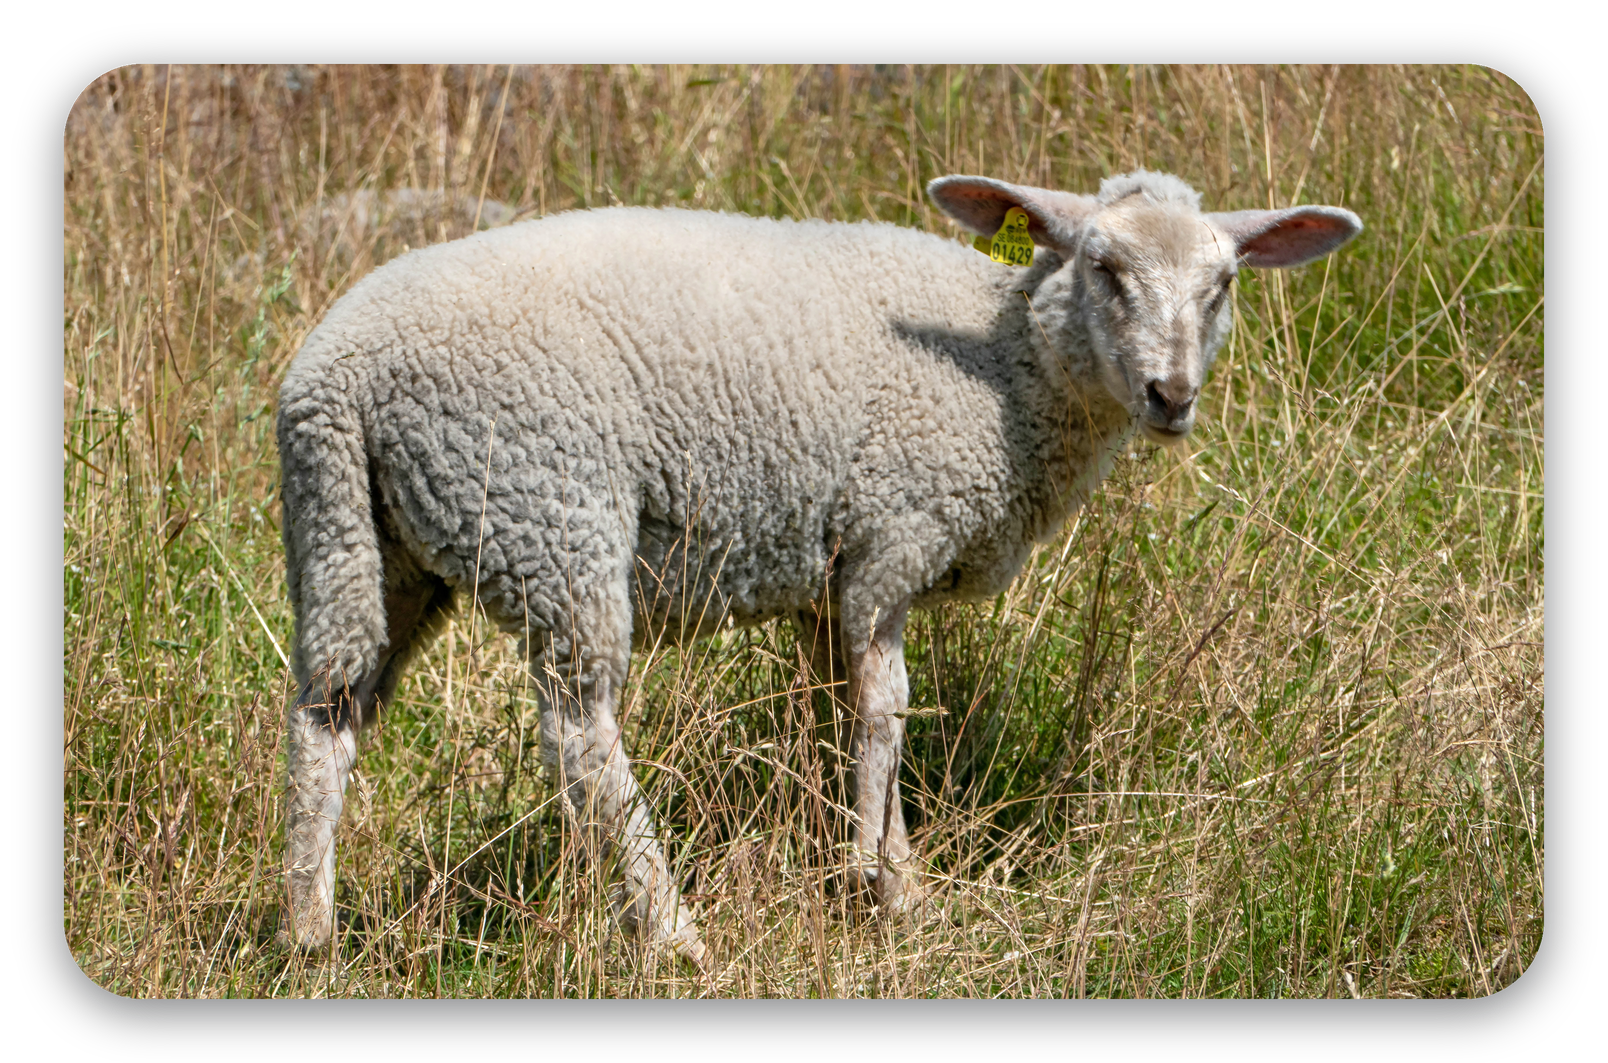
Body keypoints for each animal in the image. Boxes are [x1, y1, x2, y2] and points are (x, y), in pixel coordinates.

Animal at [276, 169, 1362, 969]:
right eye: (1104, 266)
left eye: (1223, 284)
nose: (1171, 394)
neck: (1011, 368)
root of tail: (339, 375)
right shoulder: (892, 534)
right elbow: (887, 706)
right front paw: (877, 883)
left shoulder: (824, 572)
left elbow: (833, 708)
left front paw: (883, 865)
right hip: (549, 516)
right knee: (580, 735)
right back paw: (673, 931)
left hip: (365, 541)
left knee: (329, 709)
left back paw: (308, 932)